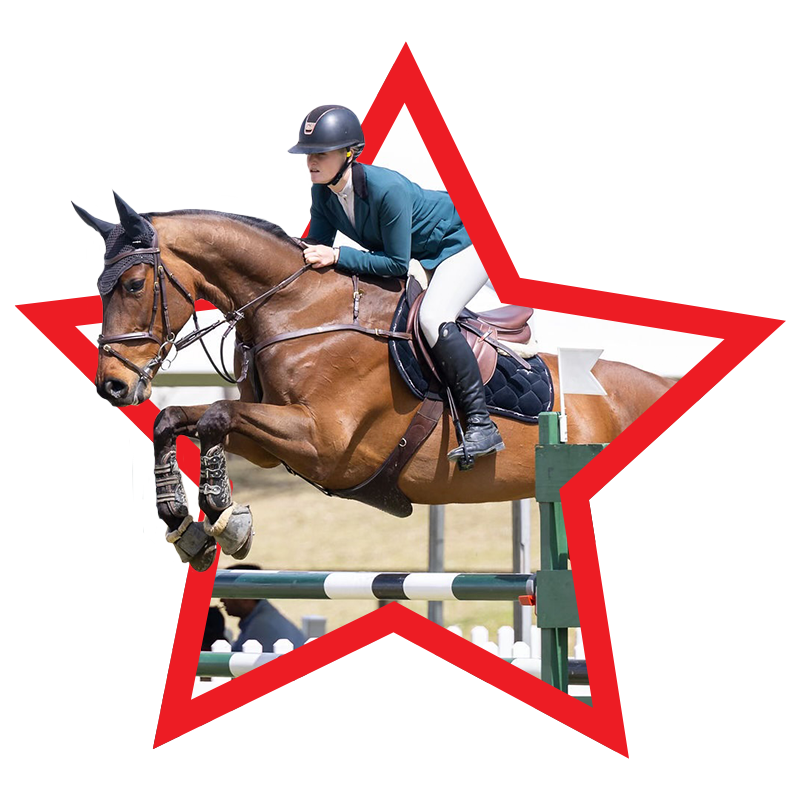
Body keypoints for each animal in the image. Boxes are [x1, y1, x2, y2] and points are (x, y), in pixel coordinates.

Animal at [72, 190, 675, 571]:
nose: (112, 388)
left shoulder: (326, 442)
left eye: (131, 284)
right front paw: (188, 521)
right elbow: (179, 420)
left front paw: (223, 513)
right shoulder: (271, 445)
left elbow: (218, 415)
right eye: (97, 286)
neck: (298, 309)